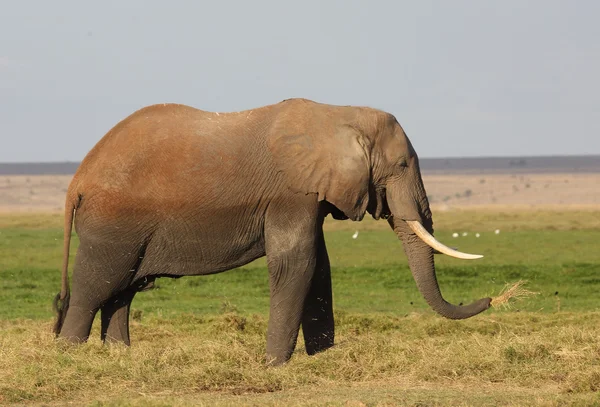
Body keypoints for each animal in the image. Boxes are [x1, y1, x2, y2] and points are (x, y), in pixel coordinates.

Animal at [52, 98, 492, 366]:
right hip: (112, 225)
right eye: (402, 165)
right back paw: (72, 357)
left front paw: (321, 358)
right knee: (95, 287)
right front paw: (276, 365)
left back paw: (120, 358)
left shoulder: (310, 195)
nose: (490, 298)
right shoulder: (290, 194)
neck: (338, 114)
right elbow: (296, 263)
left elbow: (318, 267)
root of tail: (77, 181)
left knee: (121, 291)